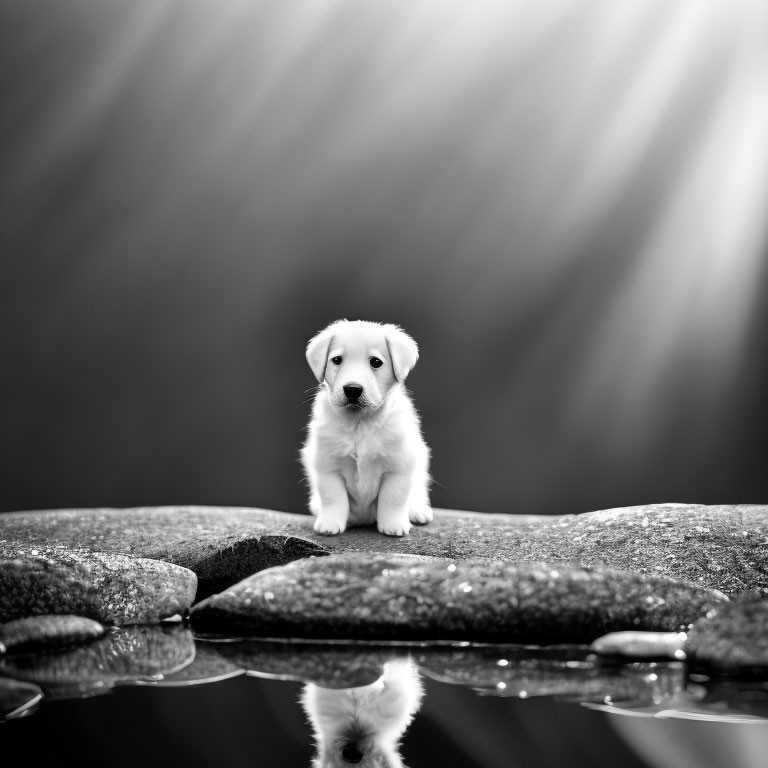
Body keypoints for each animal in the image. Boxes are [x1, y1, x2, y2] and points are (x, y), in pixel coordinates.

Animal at [302, 320, 432, 536]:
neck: (359, 423)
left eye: (376, 362)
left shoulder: (398, 467)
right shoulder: (328, 466)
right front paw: (330, 523)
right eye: (337, 360)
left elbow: (393, 498)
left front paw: (393, 525)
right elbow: (333, 497)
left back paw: (418, 511)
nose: (352, 389)